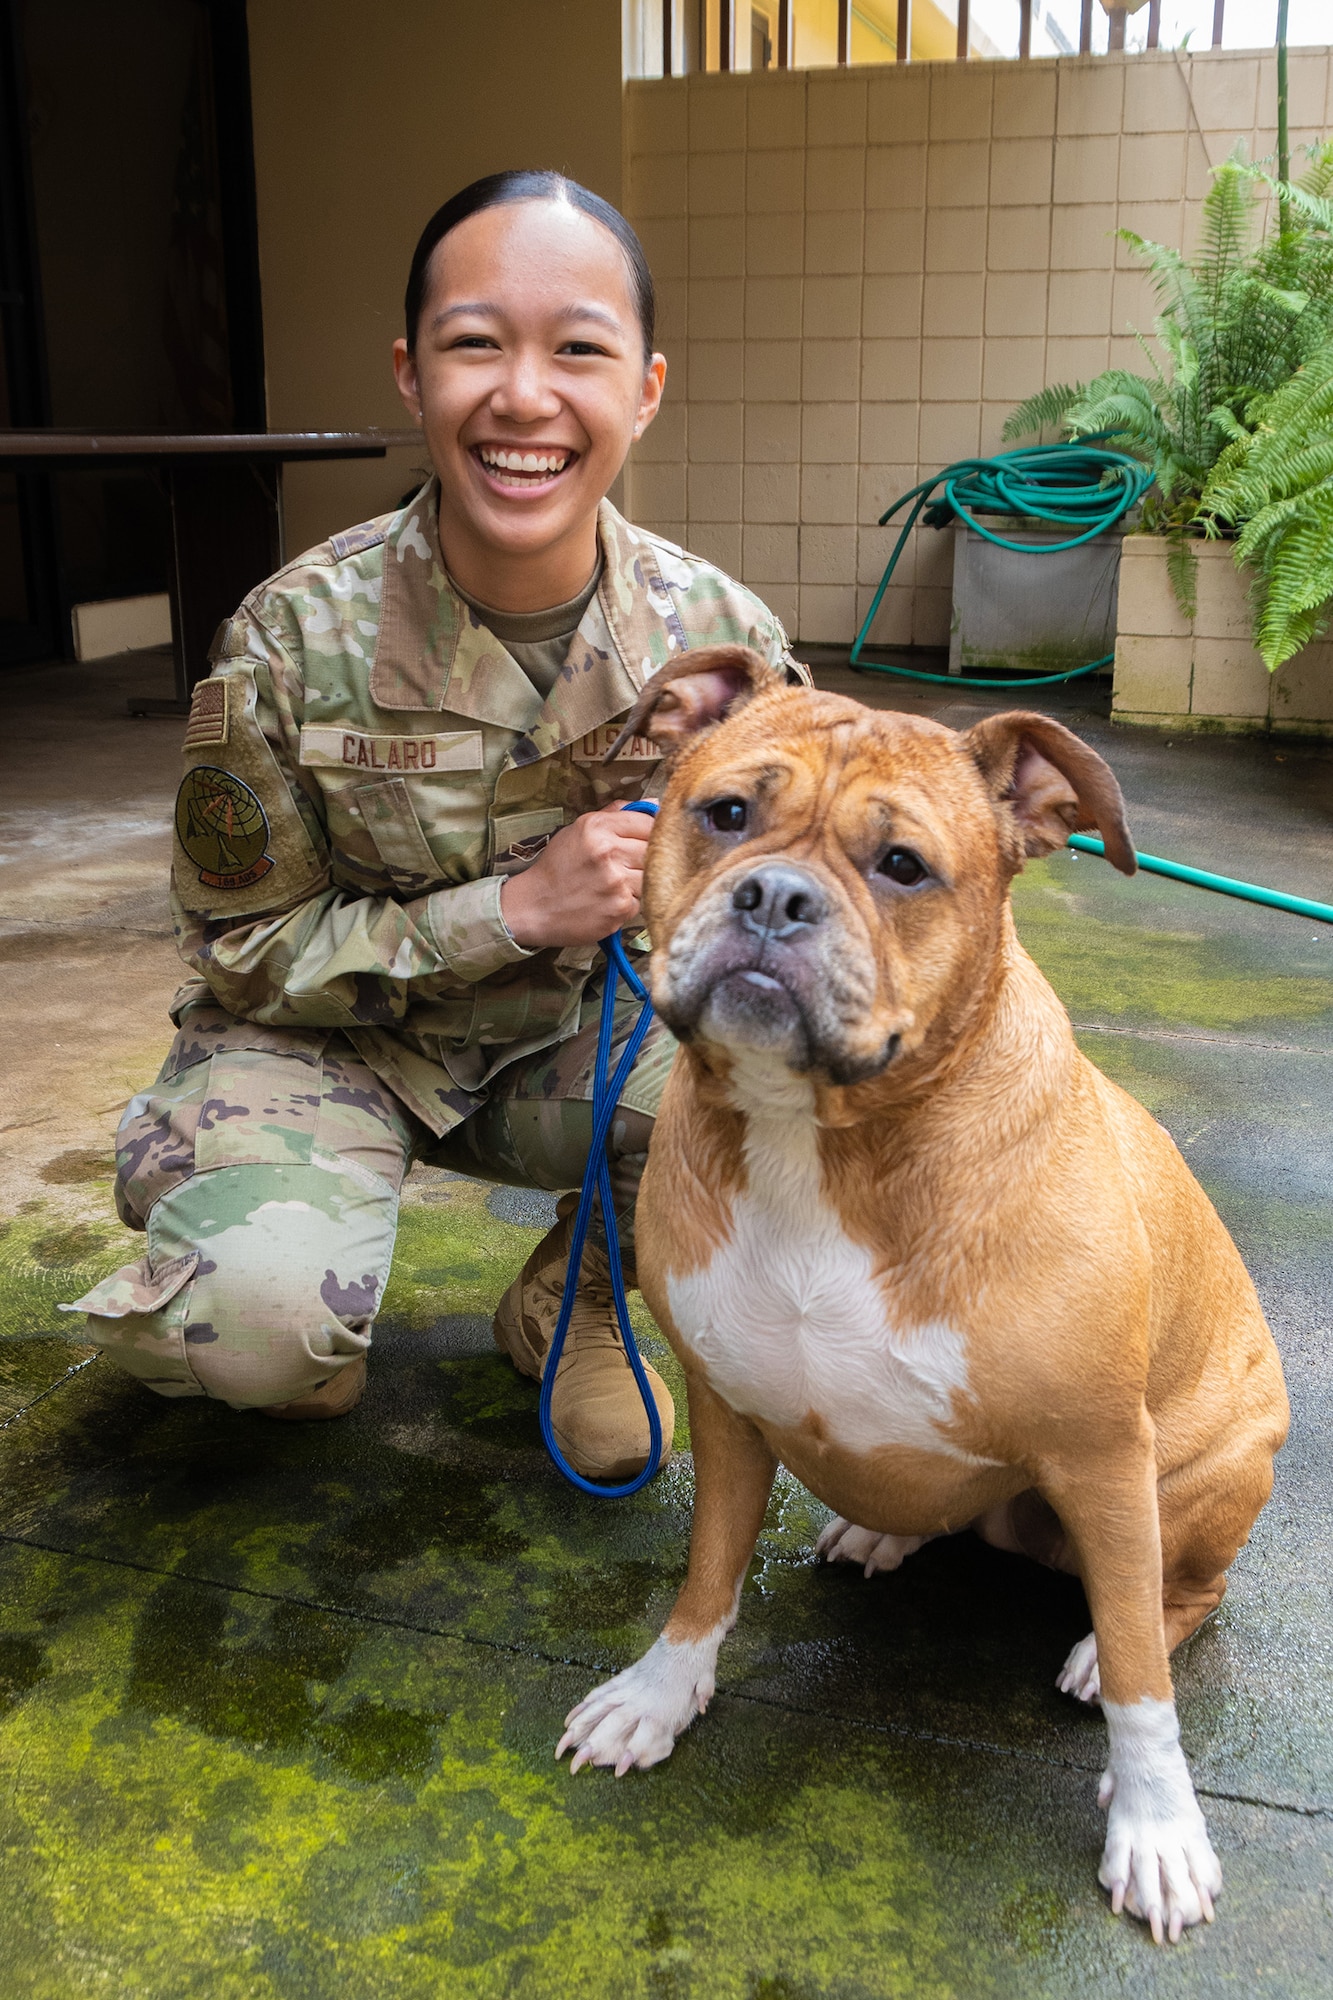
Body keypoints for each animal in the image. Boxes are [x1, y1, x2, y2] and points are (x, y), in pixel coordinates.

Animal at [556, 648, 1280, 1944]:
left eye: (901, 865)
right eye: (724, 813)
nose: (773, 897)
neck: (829, 1139)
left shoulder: (1101, 1452)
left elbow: (1146, 1684)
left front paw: (1156, 1824)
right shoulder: (725, 1409)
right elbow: (705, 1573)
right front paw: (661, 1689)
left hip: (1199, 1471)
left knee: (1173, 1597)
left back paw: (1096, 1647)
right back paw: (881, 1526)